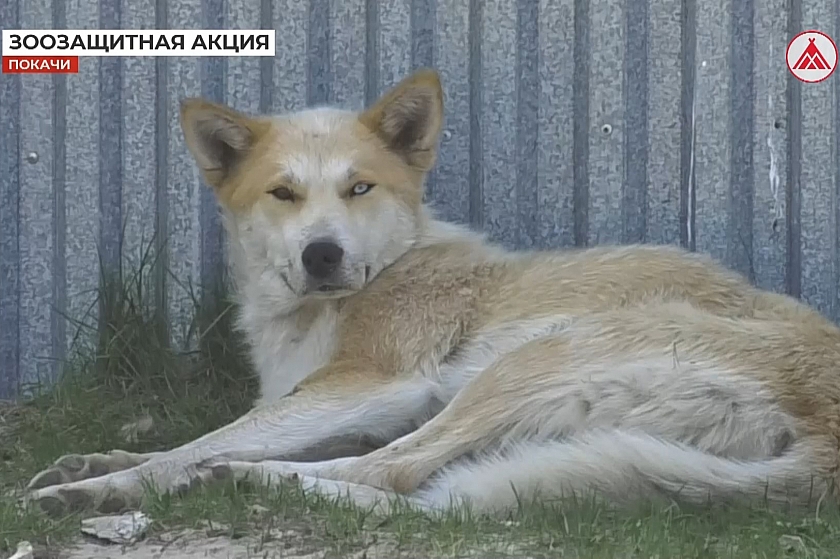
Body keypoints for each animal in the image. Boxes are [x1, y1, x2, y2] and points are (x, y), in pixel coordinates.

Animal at [24, 70, 840, 520]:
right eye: (283, 194)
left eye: (359, 188)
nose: (323, 254)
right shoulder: (339, 407)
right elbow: (202, 434)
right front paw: (93, 463)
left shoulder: (367, 387)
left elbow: (210, 440)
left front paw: (111, 485)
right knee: (411, 484)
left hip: (526, 366)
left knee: (394, 472)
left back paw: (240, 482)